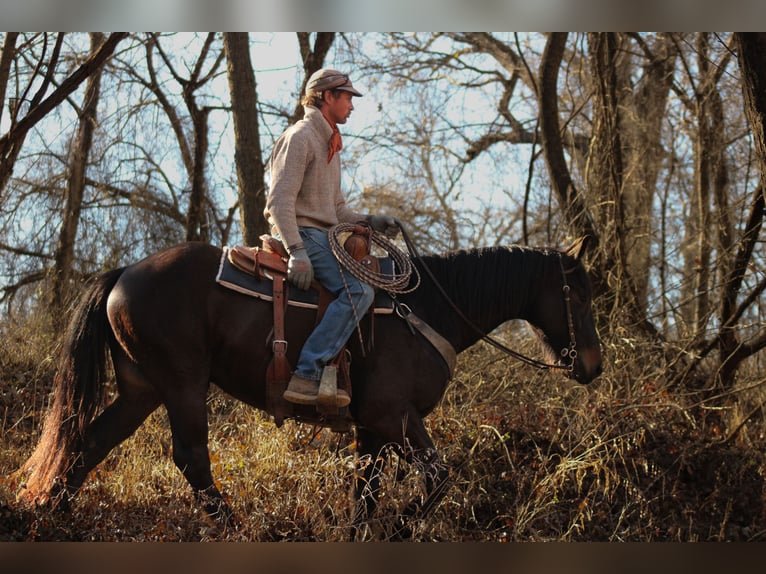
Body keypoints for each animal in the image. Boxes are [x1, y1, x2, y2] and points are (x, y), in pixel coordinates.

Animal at [16, 235, 602, 538]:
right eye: (578, 293)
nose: (594, 365)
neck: (427, 308)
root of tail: (123, 272)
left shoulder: (373, 430)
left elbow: (366, 494)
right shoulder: (394, 416)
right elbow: (437, 481)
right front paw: (399, 529)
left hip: (142, 389)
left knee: (90, 441)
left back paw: (53, 515)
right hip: (182, 383)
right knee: (191, 458)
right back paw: (237, 530)